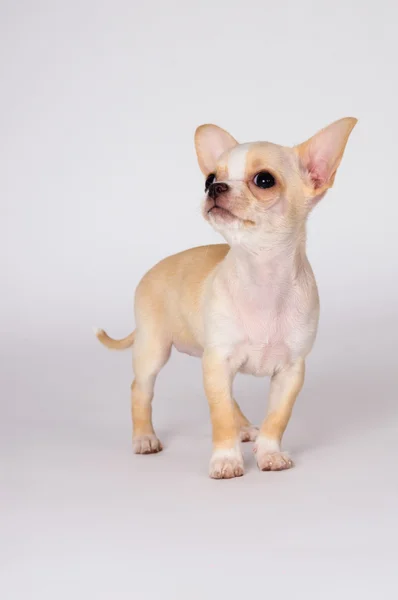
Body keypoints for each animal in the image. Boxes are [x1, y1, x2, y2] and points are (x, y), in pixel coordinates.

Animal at [95, 119, 358, 480]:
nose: (214, 187)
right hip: (154, 349)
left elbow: (277, 418)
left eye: (264, 180)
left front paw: (269, 452)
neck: (260, 274)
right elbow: (219, 418)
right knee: (141, 389)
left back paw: (245, 428)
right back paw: (144, 437)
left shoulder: (289, 372)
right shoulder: (218, 362)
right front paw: (226, 459)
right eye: (209, 178)